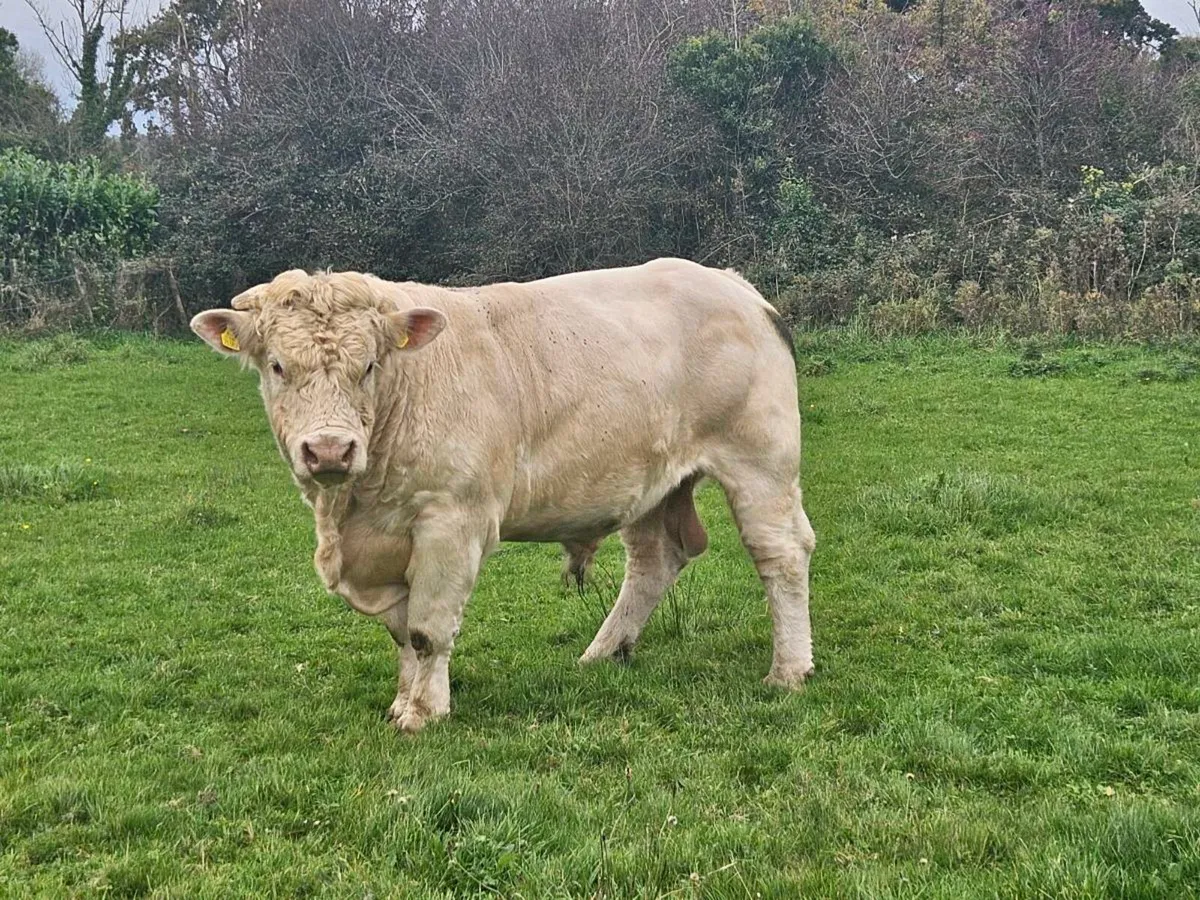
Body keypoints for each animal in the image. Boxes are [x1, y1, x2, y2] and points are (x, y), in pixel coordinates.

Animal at [190, 258, 815, 733]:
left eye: (367, 366)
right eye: (277, 366)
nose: (329, 450)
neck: (353, 510)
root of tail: (733, 285)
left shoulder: (451, 520)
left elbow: (427, 630)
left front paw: (423, 713)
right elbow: (401, 632)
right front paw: (401, 701)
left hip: (760, 461)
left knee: (781, 553)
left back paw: (789, 670)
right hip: (652, 481)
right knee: (657, 558)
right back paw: (602, 653)